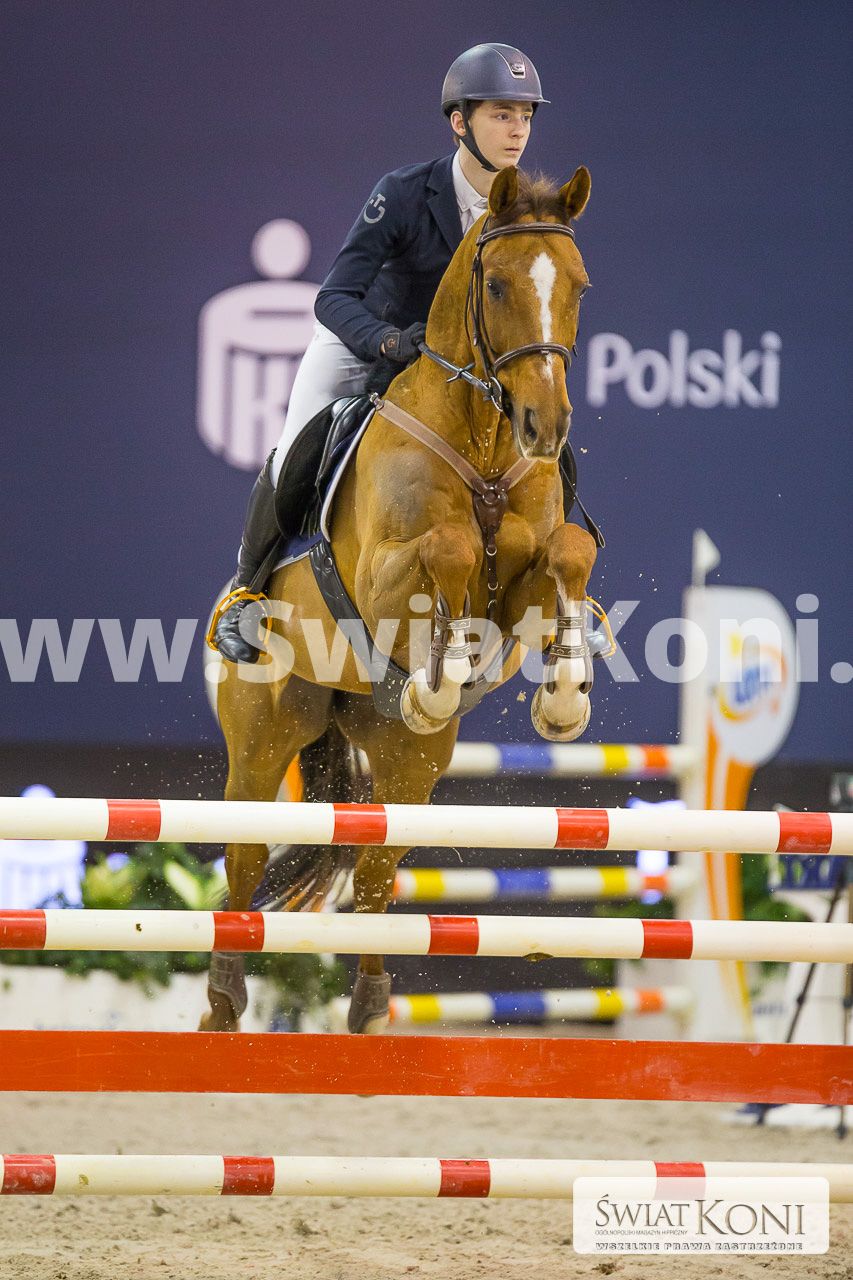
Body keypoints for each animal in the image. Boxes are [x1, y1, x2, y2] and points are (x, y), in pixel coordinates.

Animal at [202, 163, 599, 1035]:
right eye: (495, 282)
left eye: (580, 286)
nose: (546, 427)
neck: (485, 443)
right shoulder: (381, 579)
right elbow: (448, 549)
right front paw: (442, 668)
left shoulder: (525, 585)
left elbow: (567, 553)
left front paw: (561, 696)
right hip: (263, 734)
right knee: (243, 858)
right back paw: (221, 1003)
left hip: (407, 761)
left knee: (379, 872)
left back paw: (370, 1007)